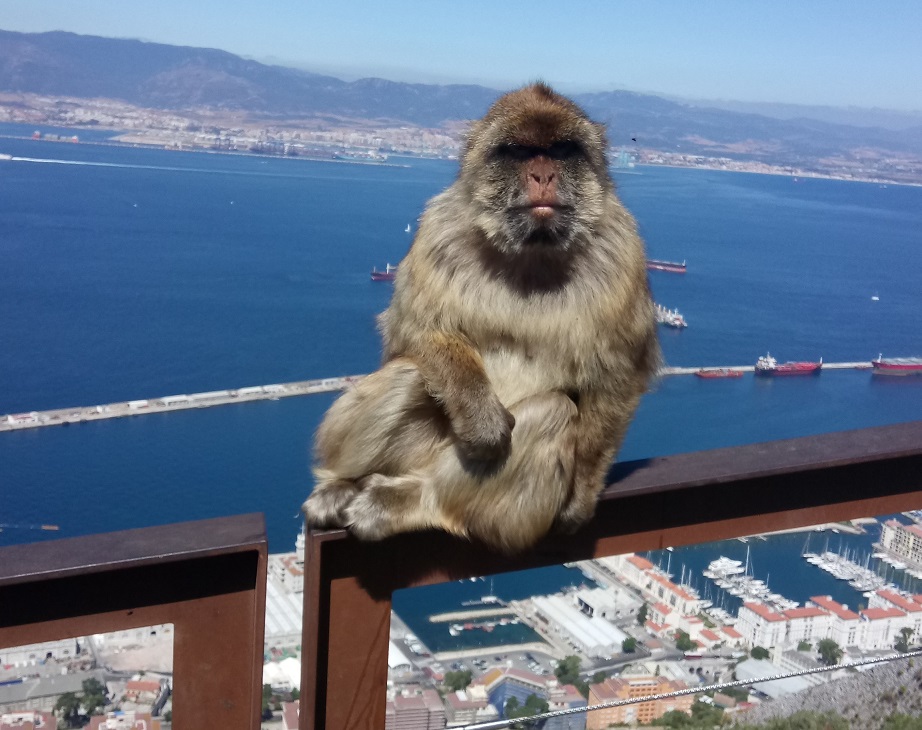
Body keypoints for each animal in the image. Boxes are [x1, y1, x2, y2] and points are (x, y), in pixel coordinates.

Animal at [304, 82, 660, 552]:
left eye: (561, 150)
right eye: (519, 152)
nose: (542, 176)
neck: (531, 253)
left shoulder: (624, 250)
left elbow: (619, 375)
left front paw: (582, 496)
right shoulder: (438, 230)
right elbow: (412, 331)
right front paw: (483, 419)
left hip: (502, 510)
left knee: (552, 413)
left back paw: (418, 503)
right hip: (417, 452)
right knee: (410, 371)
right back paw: (341, 482)